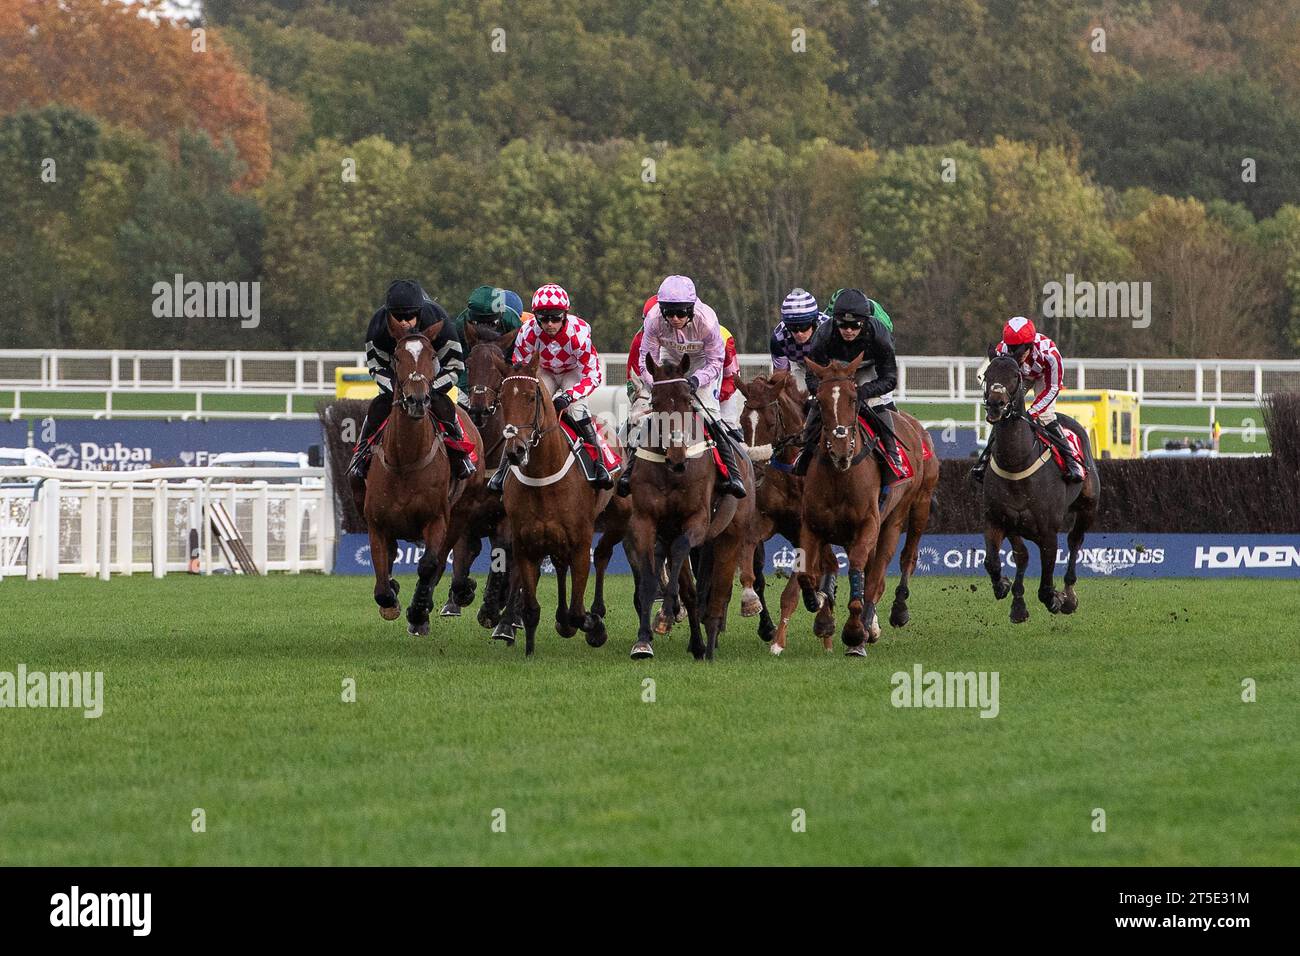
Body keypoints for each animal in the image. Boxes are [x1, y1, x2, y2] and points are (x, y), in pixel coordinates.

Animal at [361, 314, 483, 639]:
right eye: (398, 356)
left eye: (430, 355)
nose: (417, 400)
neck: (406, 461)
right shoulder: (377, 525)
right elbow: (381, 579)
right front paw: (391, 598)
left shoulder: (437, 518)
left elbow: (429, 564)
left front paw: (418, 611)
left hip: (462, 512)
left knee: (441, 560)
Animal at [491, 351, 624, 658]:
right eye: (501, 399)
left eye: (531, 397)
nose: (515, 451)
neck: (543, 476)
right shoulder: (525, 543)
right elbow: (531, 609)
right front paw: (529, 650)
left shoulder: (581, 542)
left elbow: (578, 611)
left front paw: (594, 625)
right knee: (561, 566)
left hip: (618, 517)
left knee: (602, 556)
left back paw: (595, 611)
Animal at [624, 356, 759, 660]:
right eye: (656, 401)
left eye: (688, 399)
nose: (677, 458)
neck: (672, 473)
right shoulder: (644, 522)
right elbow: (652, 580)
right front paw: (643, 640)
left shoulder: (696, 521)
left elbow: (683, 567)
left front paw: (667, 613)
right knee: (694, 588)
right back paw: (697, 643)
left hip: (731, 533)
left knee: (719, 592)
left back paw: (710, 644)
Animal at [738, 369, 837, 655]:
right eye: (742, 422)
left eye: (771, 423)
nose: (756, 471)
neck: (792, 473)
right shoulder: (766, 520)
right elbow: (748, 555)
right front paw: (749, 600)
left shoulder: (807, 530)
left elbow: (791, 592)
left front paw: (778, 642)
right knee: (829, 565)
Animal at [982, 356, 1097, 624]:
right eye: (987, 374)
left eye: (1015, 376)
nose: (996, 405)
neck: (1016, 463)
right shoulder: (1000, 519)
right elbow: (994, 561)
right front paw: (1006, 589)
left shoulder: (1048, 531)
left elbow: (1045, 586)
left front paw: (1056, 599)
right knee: (1023, 555)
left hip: (1088, 507)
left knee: (1075, 541)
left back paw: (1069, 595)